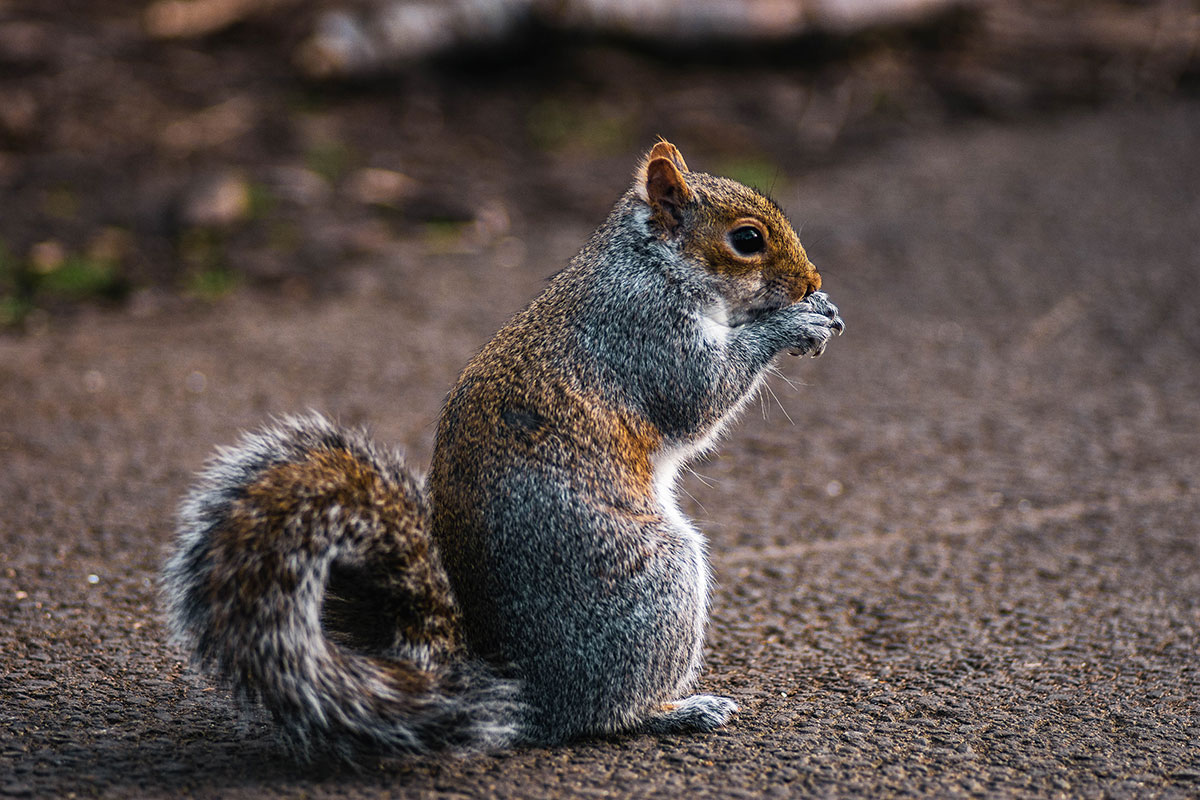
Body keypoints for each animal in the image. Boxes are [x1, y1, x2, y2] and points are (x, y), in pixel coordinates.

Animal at [163, 140, 844, 761]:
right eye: (747, 239)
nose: (811, 282)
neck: (651, 264)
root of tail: (523, 694)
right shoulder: (645, 335)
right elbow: (700, 396)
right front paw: (794, 324)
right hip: (657, 583)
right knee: (605, 715)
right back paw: (678, 709)